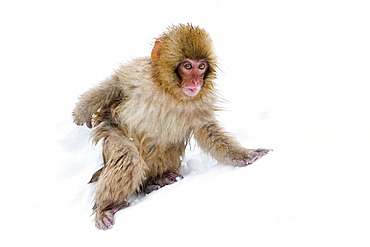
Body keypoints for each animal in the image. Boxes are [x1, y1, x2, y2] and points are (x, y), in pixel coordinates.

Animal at [72, 24, 270, 231]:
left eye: (201, 66)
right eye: (187, 66)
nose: (195, 82)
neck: (171, 91)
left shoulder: (202, 102)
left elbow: (207, 130)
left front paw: (244, 155)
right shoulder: (138, 74)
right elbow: (116, 83)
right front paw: (82, 110)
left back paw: (154, 181)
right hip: (112, 133)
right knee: (129, 157)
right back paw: (106, 208)